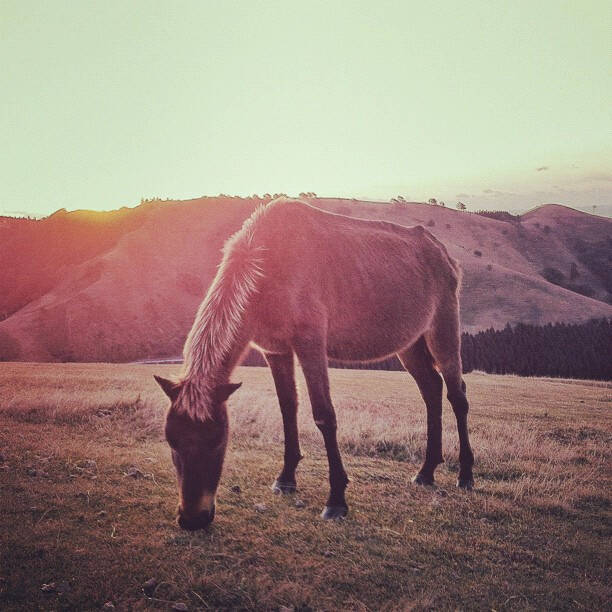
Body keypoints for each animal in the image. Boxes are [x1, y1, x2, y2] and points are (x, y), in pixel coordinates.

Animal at [155, 197, 476, 532]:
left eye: (218, 440)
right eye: (172, 441)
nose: (192, 518)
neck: (267, 265)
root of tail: (446, 256)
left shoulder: (311, 343)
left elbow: (324, 415)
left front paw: (336, 500)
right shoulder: (276, 350)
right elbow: (287, 408)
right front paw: (286, 479)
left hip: (442, 331)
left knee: (457, 396)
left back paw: (466, 475)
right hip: (409, 345)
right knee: (431, 389)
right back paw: (426, 471)